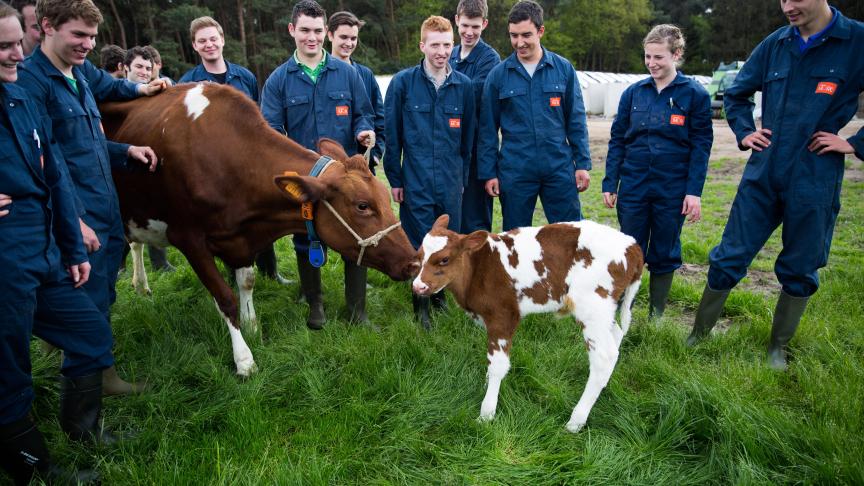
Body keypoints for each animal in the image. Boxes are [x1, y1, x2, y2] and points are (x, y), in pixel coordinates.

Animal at [99, 84, 420, 376]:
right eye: (363, 206)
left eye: (385, 195)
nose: (414, 263)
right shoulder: (189, 239)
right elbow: (225, 298)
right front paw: (244, 359)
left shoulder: (240, 239)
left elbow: (247, 282)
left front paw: (252, 325)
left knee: (134, 244)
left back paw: (141, 285)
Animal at [412, 216, 640, 432]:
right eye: (420, 256)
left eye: (444, 259)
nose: (418, 286)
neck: (478, 270)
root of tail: (632, 245)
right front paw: (486, 384)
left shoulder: (503, 316)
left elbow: (498, 365)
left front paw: (486, 414)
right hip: (604, 312)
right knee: (616, 337)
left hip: (592, 308)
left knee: (603, 357)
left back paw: (576, 421)